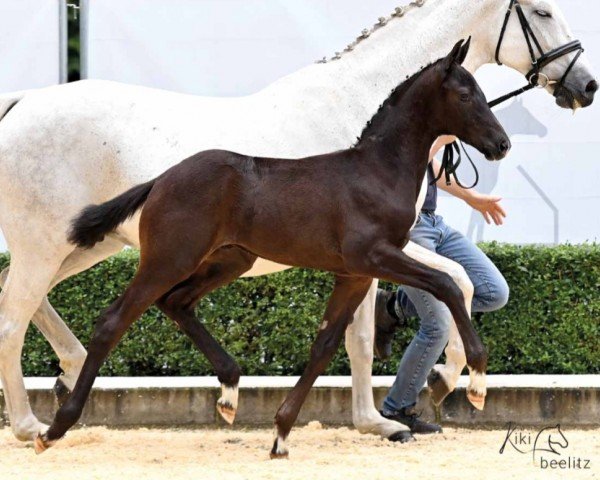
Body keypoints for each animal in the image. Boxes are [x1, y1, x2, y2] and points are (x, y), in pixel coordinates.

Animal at [35, 39, 508, 456]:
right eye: (466, 95)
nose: (501, 144)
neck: (377, 171)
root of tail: (162, 179)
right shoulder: (374, 256)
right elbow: (447, 284)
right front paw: (477, 378)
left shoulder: (354, 273)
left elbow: (324, 345)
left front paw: (280, 435)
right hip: (169, 259)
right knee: (112, 321)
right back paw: (53, 429)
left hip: (229, 260)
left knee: (177, 302)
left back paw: (229, 391)